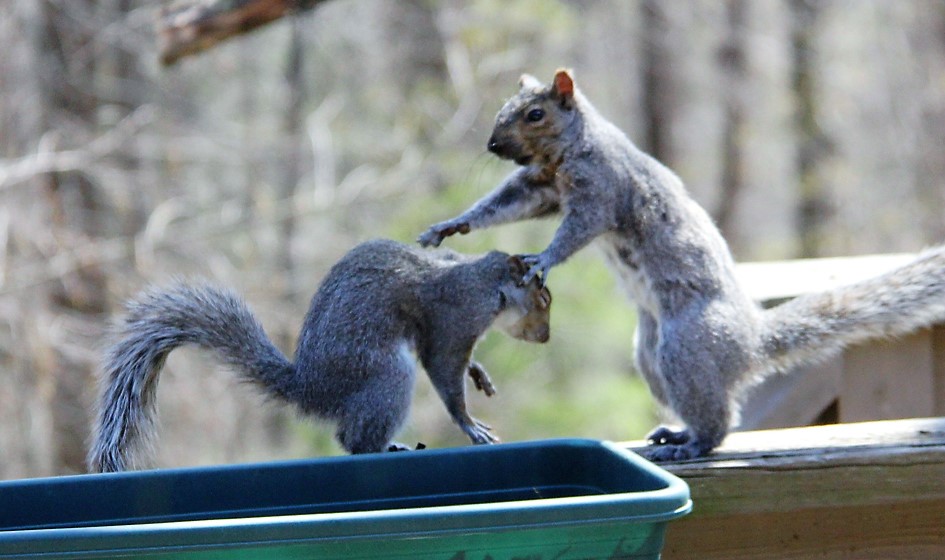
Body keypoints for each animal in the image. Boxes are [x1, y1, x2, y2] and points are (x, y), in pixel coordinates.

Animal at [86, 238, 552, 470]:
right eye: (543, 297)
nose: (546, 337)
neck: (485, 281)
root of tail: (311, 388)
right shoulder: (453, 320)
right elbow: (444, 372)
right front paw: (471, 426)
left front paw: (480, 374)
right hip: (387, 377)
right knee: (353, 440)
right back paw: (384, 447)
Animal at [418, 70, 944, 462]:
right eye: (505, 107)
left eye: (534, 113)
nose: (492, 145)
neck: (570, 149)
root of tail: (749, 341)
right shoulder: (541, 188)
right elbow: (503, 205)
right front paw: (451, 225)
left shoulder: (600, 192)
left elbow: (575, 231)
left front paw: (542, 257)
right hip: (651, 357)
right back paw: (677, 434)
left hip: (685, 346)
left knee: (720, 420)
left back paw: (693, 444)